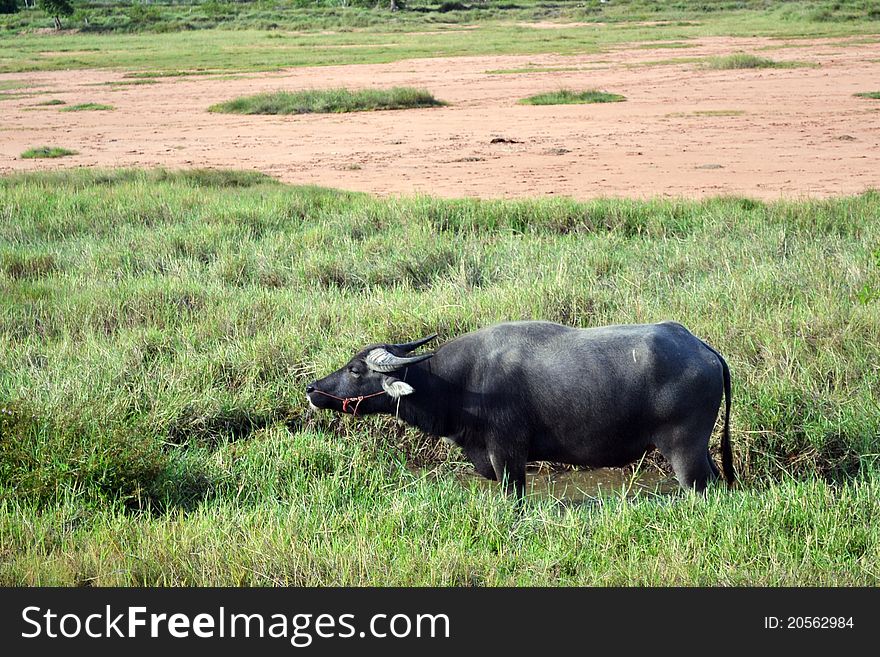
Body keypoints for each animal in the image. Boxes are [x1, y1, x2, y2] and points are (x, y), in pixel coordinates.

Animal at [306, 320, 732, 498]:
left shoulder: (507, 452)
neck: (460, 383)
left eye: (355, 369)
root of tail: (704, 349)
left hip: (684, 451)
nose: (312, 389)